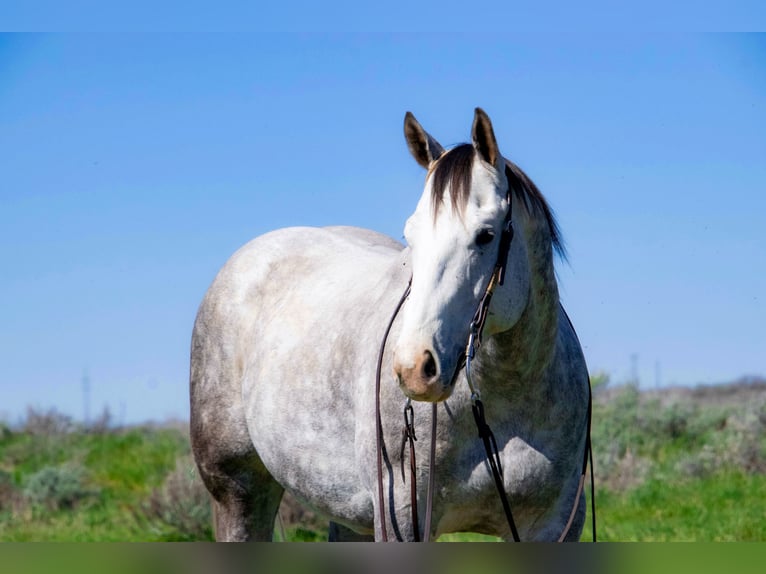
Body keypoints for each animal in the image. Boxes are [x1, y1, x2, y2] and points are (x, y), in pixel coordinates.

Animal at [189, 108, 592, 544]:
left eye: (486, 235)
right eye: (410, 235)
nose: (415, 367)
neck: (507, 397)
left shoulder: (554, 526)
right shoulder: (402, 519)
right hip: (239, 493)